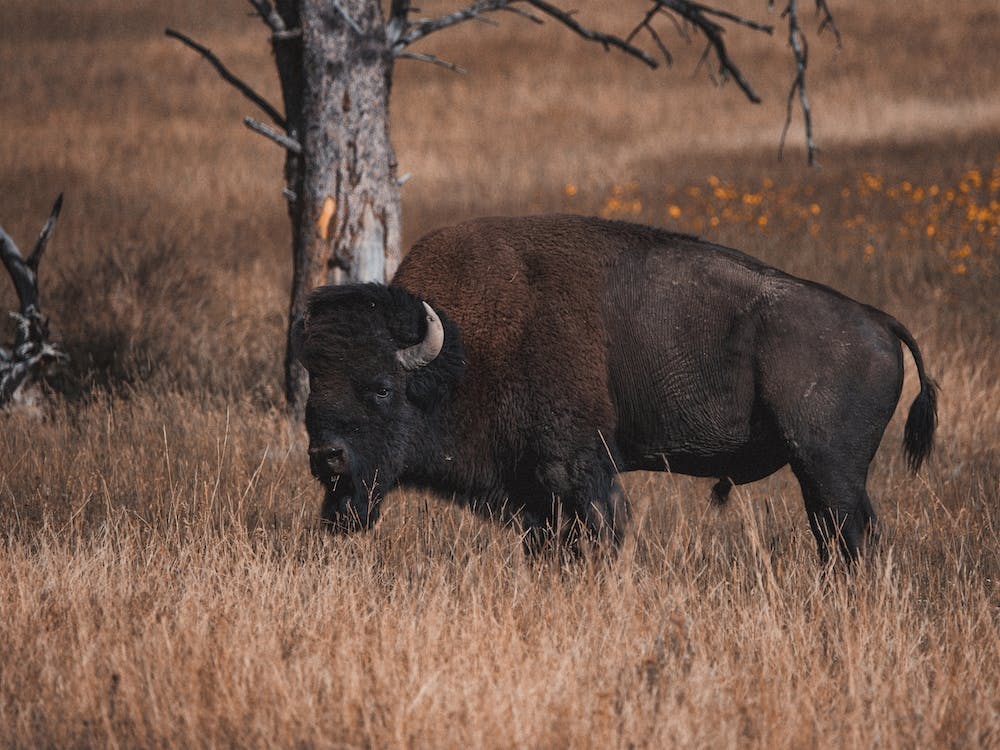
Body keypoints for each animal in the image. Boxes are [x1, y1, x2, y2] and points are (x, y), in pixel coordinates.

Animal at [298, 214, 937, 562]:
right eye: (312, 384)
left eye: (381, 388)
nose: (327, 456)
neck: (459, 351)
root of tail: (877, 321)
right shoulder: (536, 495)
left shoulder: (578, 471)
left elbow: (601, 534)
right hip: (826, 477)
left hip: (827, 470)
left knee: (849, 535)